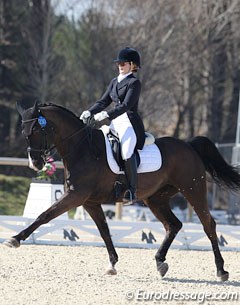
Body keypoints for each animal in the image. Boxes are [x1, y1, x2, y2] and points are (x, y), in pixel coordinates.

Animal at [3, 101, 240, 280]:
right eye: (24, 132)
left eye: (36, 130)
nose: (35, 163)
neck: (82, 148)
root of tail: (189, 146)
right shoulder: (89, 201)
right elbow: (104, 230)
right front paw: (112, 264)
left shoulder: (76, 196)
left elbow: (44, 215)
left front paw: (15, 239)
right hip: (156, 199)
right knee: (173, 225)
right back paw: (160, 262)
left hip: (193, 189)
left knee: (208, 225)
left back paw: (221, 270)